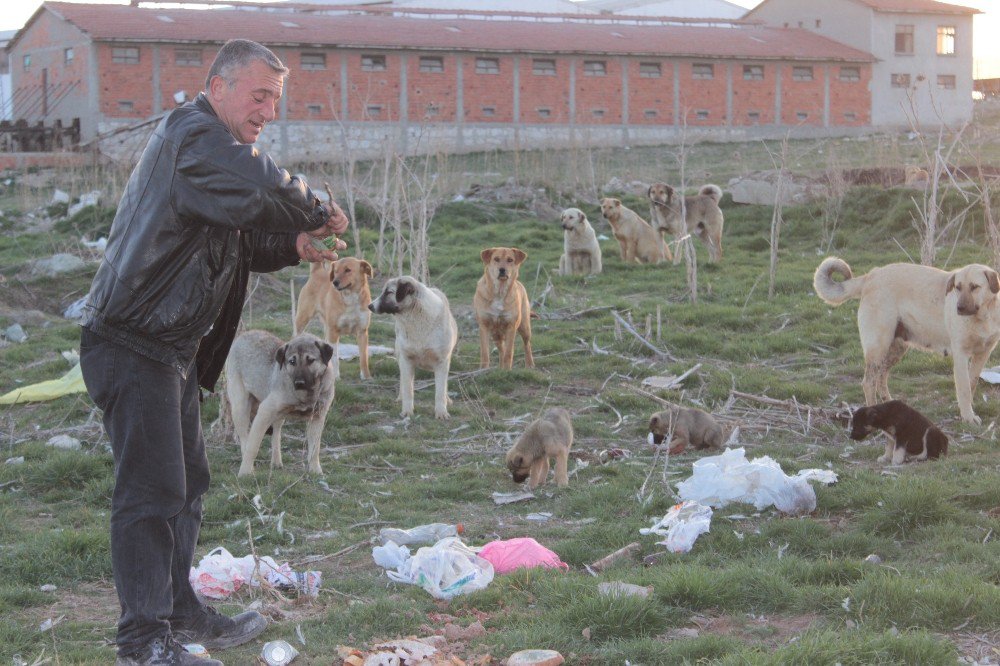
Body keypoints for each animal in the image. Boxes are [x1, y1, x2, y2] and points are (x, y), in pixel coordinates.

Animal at [226, 328, 336, 474]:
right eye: (292, 362)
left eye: (310, 360)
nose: (299, 383)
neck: (306, 394)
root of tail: (244, 334)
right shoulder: (264, 412)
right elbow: (252, 446)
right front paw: (244, 473)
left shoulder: (317, 418)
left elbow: (314, 449)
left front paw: (315, 471)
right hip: (240, 408)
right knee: (245, 439)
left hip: (278, 415)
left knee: (276, 434)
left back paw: (276, 462)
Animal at [370, 274, 458, 418]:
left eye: (389, 292)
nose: (370, 306)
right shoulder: (406, 360)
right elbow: (408, 390)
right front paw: (407, 411)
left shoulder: (442, 362)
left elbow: (440, 391)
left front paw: (441, 412)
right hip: (400, 357)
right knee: (403, 381)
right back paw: (400, 397)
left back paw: (447, 400)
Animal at [812, 256, 1000, 422]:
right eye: (958, 287)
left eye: (975, 287)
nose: (959, 308)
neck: (983, 316)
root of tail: (872, 275)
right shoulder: (961, 355)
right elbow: (964, 388)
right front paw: (968, 417)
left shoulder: (983, 354)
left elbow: (972, 382)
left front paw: (967, 410)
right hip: (878, 347)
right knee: (869, 382)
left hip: (896, 349)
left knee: (881, 376)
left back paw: (888, 405)